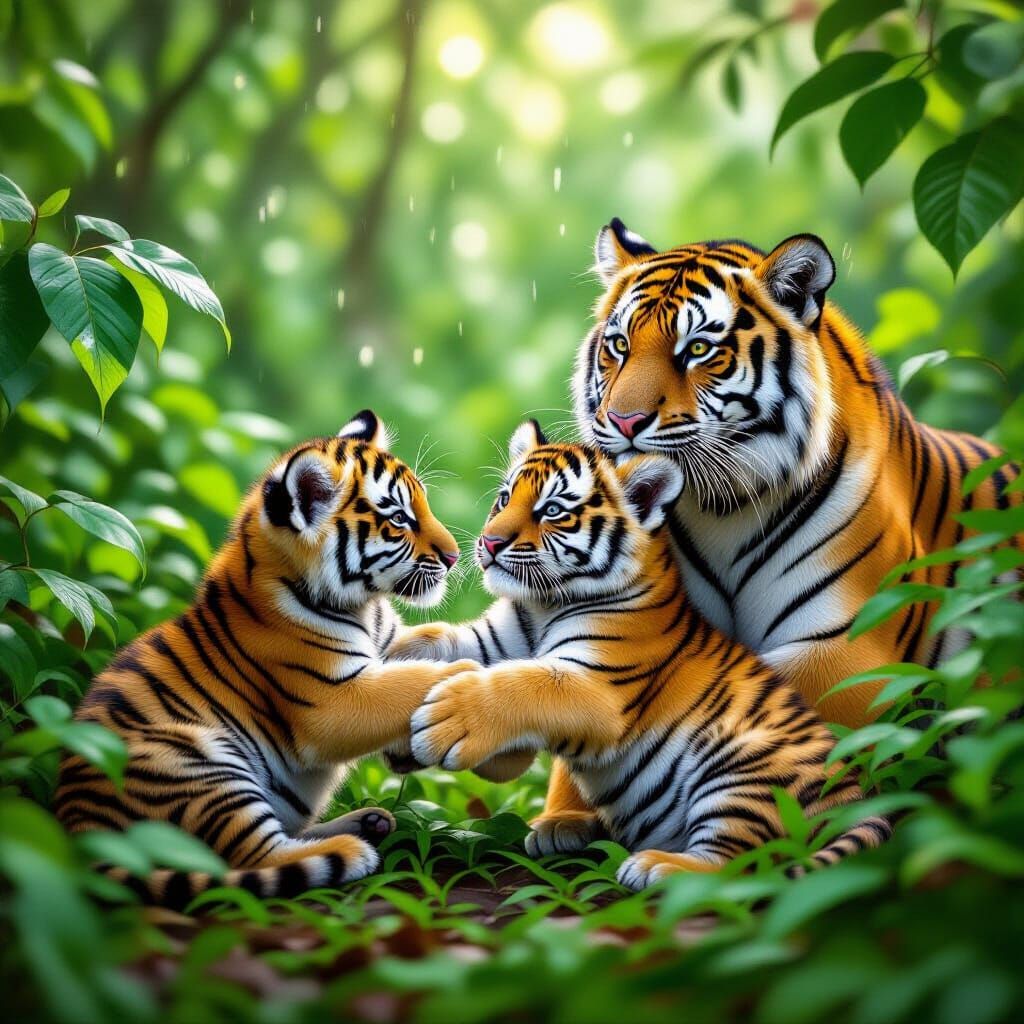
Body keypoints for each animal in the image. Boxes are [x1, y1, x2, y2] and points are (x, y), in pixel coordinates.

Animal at [55, 410, 480, 908]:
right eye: (398, 518)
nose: (454, 557)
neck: (362, 604)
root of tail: (79, 828)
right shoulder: (332, 701)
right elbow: (411, 681)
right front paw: (467, 677)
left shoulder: (393, 642)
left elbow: (440, 642)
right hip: (197, 767)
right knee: (252, 857)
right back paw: (352, 847)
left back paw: (370, 821)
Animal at [394, 423, 891, 888]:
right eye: (503, 499)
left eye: (552, 510)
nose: (489, 544)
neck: (541, 605)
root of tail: (855, 799)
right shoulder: (491, 642)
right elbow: (438, 640)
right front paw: (393, 652)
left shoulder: (597, 684)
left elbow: (522, 682)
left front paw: (446, 721)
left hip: (745, 772)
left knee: (739, 865)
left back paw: (654, 865)